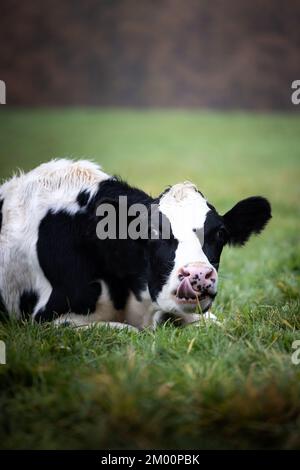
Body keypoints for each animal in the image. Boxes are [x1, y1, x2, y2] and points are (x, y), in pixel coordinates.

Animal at [0, 160, 272, 328]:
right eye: (151, 231)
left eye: (221, 233)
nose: (198, 275)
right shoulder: (47, 318)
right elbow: (126, 330)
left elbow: (216, 323)